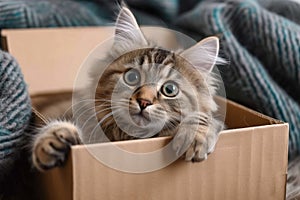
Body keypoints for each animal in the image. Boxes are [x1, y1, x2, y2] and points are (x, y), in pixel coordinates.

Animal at [31, 7, 224, 171]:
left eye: (169, 90)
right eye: (132, 77)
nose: (144, 101)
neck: (129, 137)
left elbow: (206, 118)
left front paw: (194, 136)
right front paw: (54, 138)